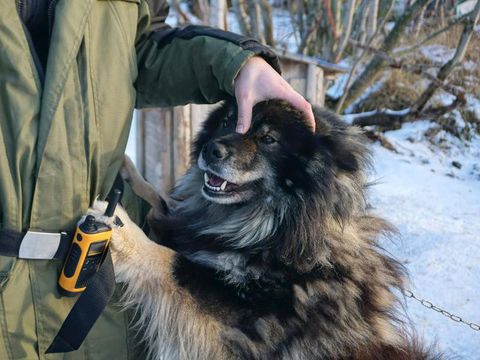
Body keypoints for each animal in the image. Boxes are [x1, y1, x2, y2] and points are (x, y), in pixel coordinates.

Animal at [89, 100, 438, 358]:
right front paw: (128, 171)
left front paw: (122, 233)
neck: (272, 233)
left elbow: (171, 262)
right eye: (227, 122)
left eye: (268, 140)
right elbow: (162, 204)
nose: (210, 150)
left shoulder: (242, 328)